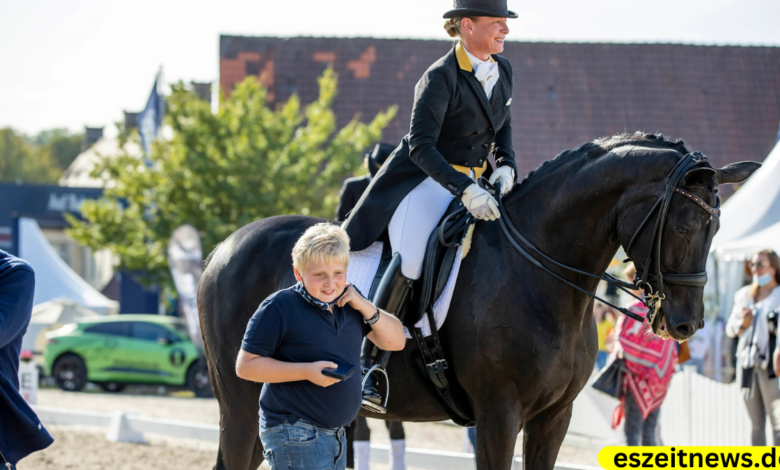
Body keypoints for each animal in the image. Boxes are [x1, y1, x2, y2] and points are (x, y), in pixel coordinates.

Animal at [198, 133, 760, 470]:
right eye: (683, 226)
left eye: (716, 228)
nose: (686, 325)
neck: (539, 274)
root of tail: (223, 249)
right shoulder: (498, 415)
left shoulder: (553, 418)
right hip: (245, 403)